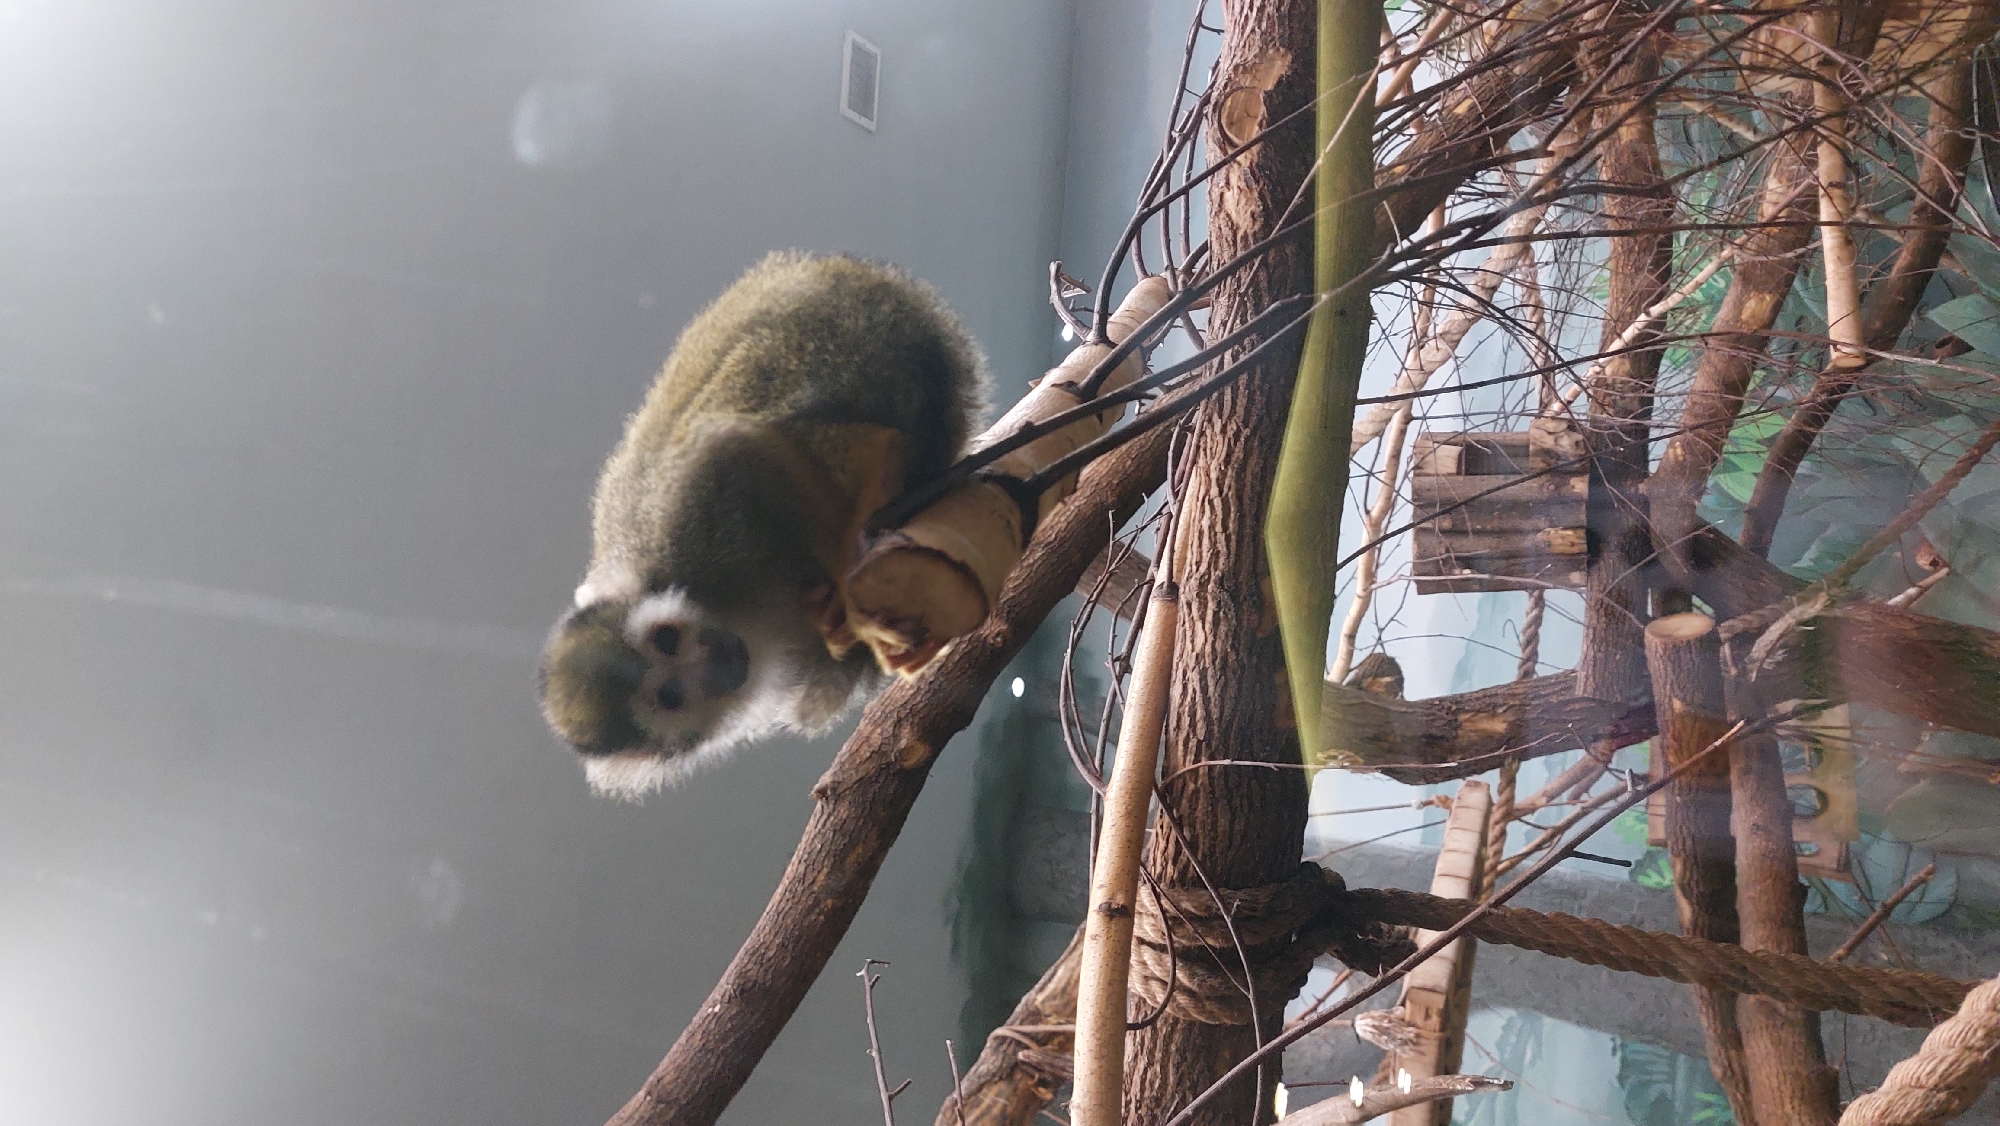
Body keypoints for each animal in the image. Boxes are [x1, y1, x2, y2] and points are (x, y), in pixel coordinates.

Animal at [539, 251, 988, 798]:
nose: (715, 659)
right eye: (669, 697)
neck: (737, 618)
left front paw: (848, 586)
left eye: (667, 639)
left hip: (842, 339)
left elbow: (734, 454)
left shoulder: (688, 527)